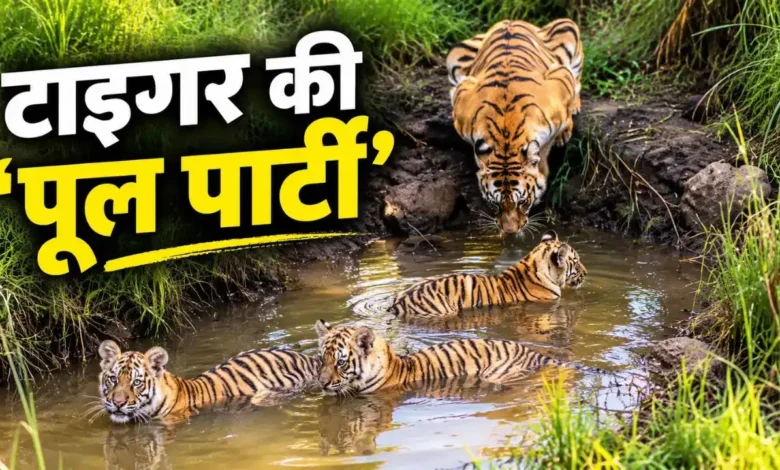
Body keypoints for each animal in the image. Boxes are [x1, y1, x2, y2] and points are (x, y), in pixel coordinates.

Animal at [446, 19, 583, 234]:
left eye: (522, 202)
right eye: (495, 204)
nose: (510, 232)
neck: (506, 138)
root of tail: (510, 20)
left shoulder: (561, 78)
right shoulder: (461, 94)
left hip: (567, 29)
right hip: (455, 53)